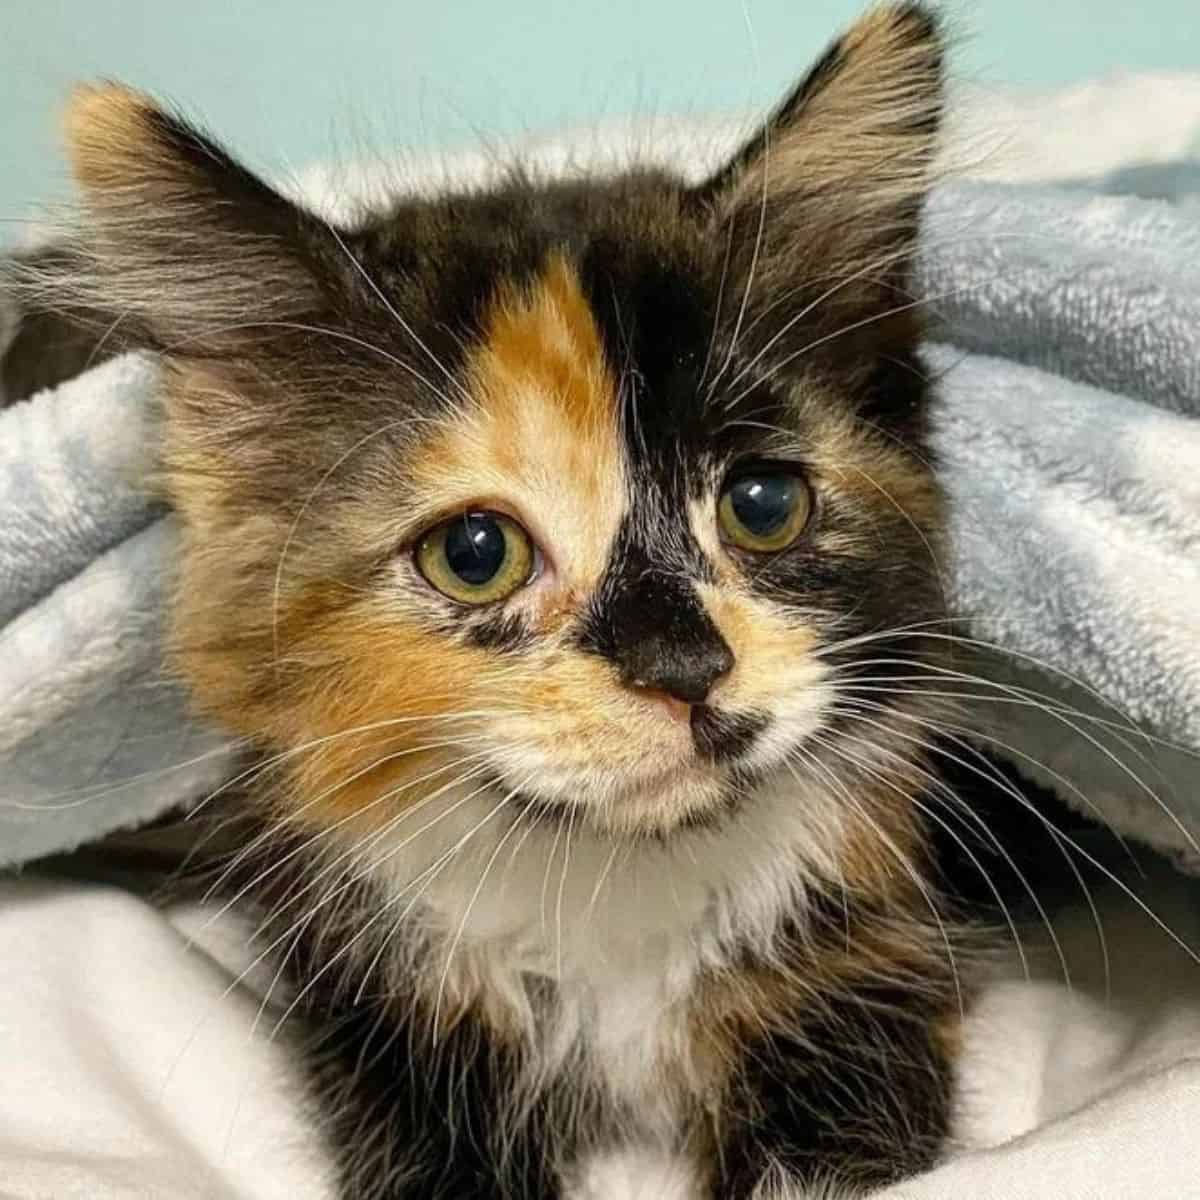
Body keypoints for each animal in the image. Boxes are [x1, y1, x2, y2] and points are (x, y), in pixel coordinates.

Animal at [7, 4, 1060, 1195]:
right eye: (477, 553)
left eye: (762, 504)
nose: (684, 670)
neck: (615, 890)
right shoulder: (388, 1016)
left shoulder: (863, 963)